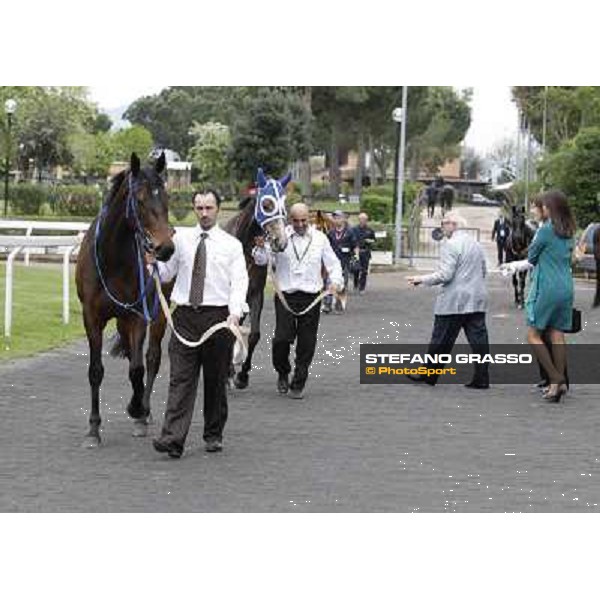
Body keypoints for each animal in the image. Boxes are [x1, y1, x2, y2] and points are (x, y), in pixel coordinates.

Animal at [74, 154, 173, 446]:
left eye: (166, 196)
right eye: (139, 199)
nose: (166, 248)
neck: (111, 259)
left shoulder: (137, 314)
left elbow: (137, 368)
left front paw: (137, 409)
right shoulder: (92, 316)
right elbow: (96, 370)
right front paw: (93, 429)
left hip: (158, 311)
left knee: (151, 357)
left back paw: (144, 410)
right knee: (132, 353)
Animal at [225, 169, 290, 390]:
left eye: (284, 205)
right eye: (267, 204)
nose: (281, 241)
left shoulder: (255, 294)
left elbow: (254, 335)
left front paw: (242, 376)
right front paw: (230, 374)